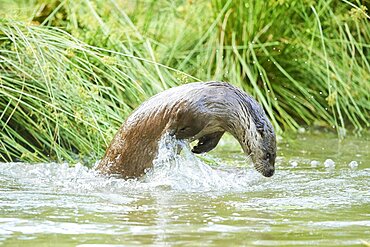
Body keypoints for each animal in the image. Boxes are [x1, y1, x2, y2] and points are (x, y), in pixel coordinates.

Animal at [97, 82, 276, 178]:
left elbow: (214, 139)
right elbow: (178, 122)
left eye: (274, 156)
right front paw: (175, 134)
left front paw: (199, 148)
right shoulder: (195, 110)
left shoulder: (217, 126)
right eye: (268, 155)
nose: (271, 172)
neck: (226, 103)